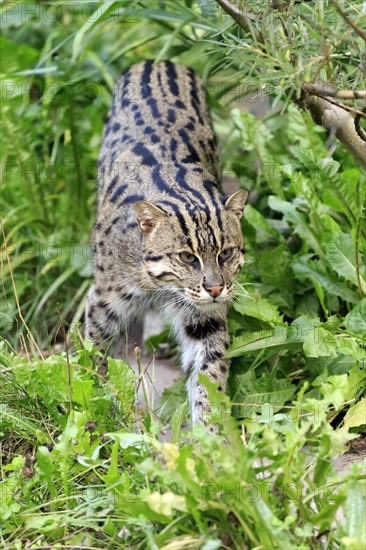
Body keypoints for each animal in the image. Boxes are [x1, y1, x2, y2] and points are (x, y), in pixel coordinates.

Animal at [86, 61, 247, 432]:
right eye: (187, 257)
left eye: (226, 253)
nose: (215, 289)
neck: (161, 286)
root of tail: (158, 62)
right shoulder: (102, 301)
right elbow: (91, 354)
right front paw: (94, 405)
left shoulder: (205, 317)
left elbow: (209, 372)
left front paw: (211, 434)